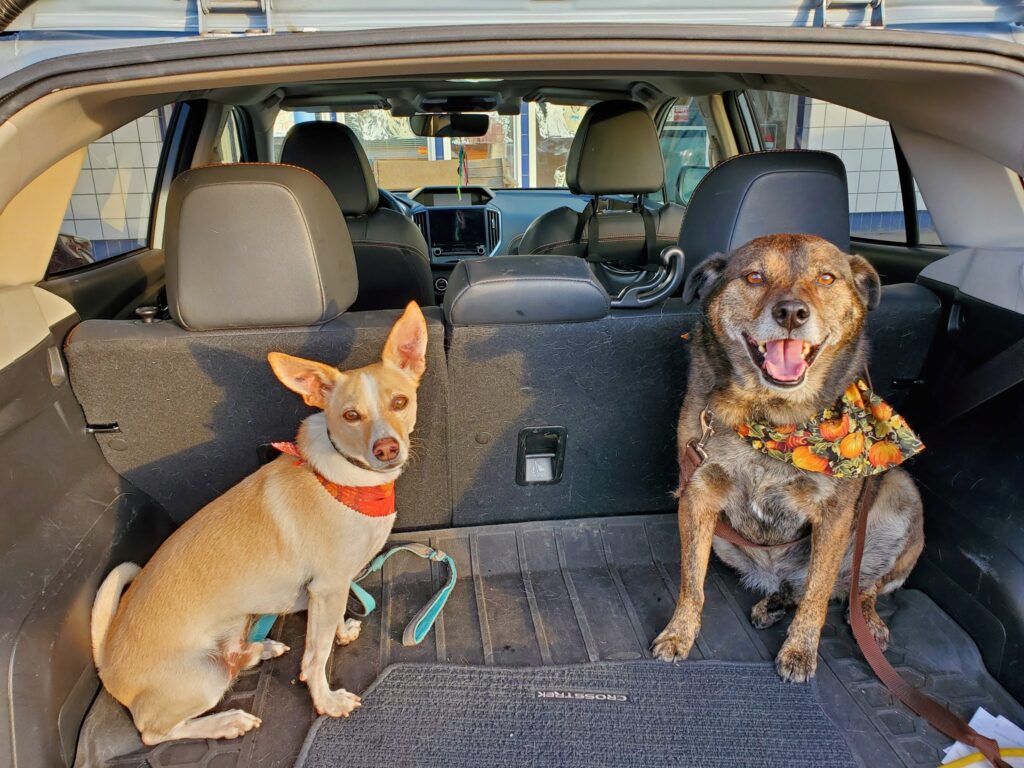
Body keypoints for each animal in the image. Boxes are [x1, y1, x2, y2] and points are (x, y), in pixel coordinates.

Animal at [90, 302, 428, 744]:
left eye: (400, 402)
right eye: (351, 415)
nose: (387, 448)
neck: (348, 480)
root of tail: (106, 661)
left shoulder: (326, 591)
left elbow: (328, 628)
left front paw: (341, 632)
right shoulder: (329, 584)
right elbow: (316, 656)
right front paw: (326, 701)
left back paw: (259, 649)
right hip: (204, 677)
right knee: (154, 733)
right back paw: (227, 721)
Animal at [653, 234, 924, 682]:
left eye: (827, 278)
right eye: (754, 277)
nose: (792, 314)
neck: (773, 417)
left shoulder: (834, 515)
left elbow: (817, 594)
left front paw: (800, 651)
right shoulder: (697, 495)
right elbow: (692, 581)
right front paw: (679, 634)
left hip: (902, 496)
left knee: (854, 588)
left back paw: (867, 621)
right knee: (795, 588)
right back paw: (774, 603)